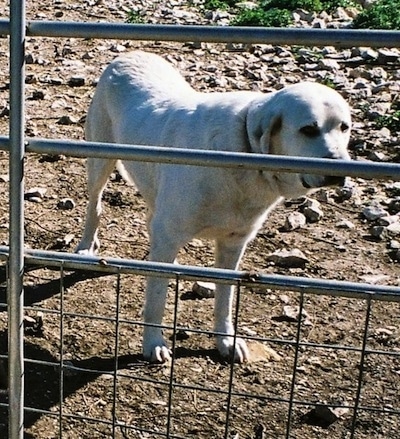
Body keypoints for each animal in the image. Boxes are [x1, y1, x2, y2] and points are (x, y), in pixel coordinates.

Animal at [76, 50, 352, 364]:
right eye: (308, 130)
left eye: (344, 127)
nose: (339, 169)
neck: (245, 152)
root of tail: (131, 54)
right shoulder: (169, 235)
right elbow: (157, 299)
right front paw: (153, 343)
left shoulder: (233, 245)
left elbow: (225, 298)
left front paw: (226, 341)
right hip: (100, 162)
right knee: (95, 206)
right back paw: (86, 246)